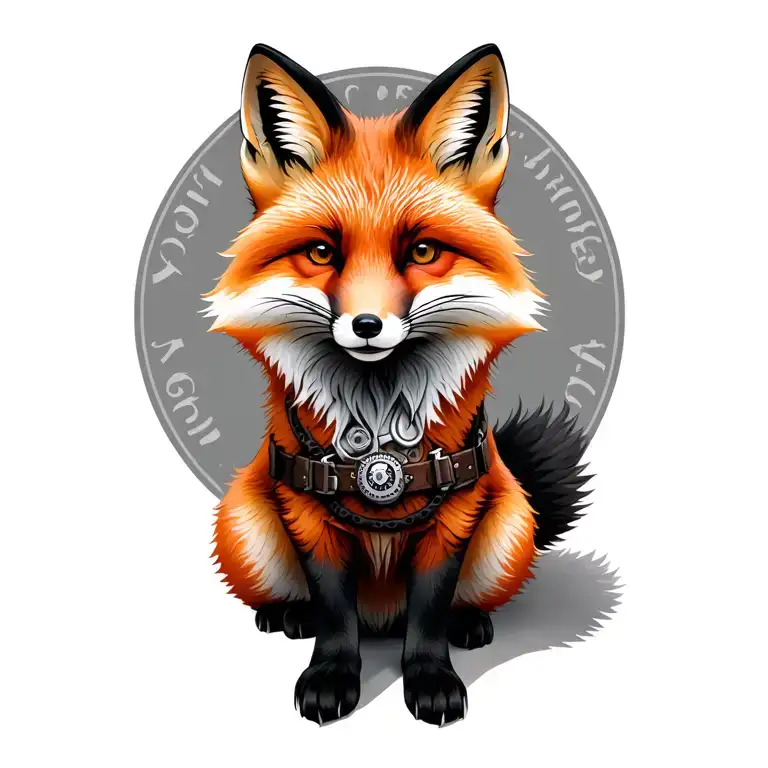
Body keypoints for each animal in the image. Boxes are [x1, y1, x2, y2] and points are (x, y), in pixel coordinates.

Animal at [202, 43, 590, 727]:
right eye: (323, 253)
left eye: (424, 251)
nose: (366, 326)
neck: (378, 414)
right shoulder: (309, 515)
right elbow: (334, 610)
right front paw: (331, 675)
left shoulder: (454, 515)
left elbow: (429, 610)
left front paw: (431, 678)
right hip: (245, 523)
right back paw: (288, 613)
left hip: (509, 526)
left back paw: (471, 622)